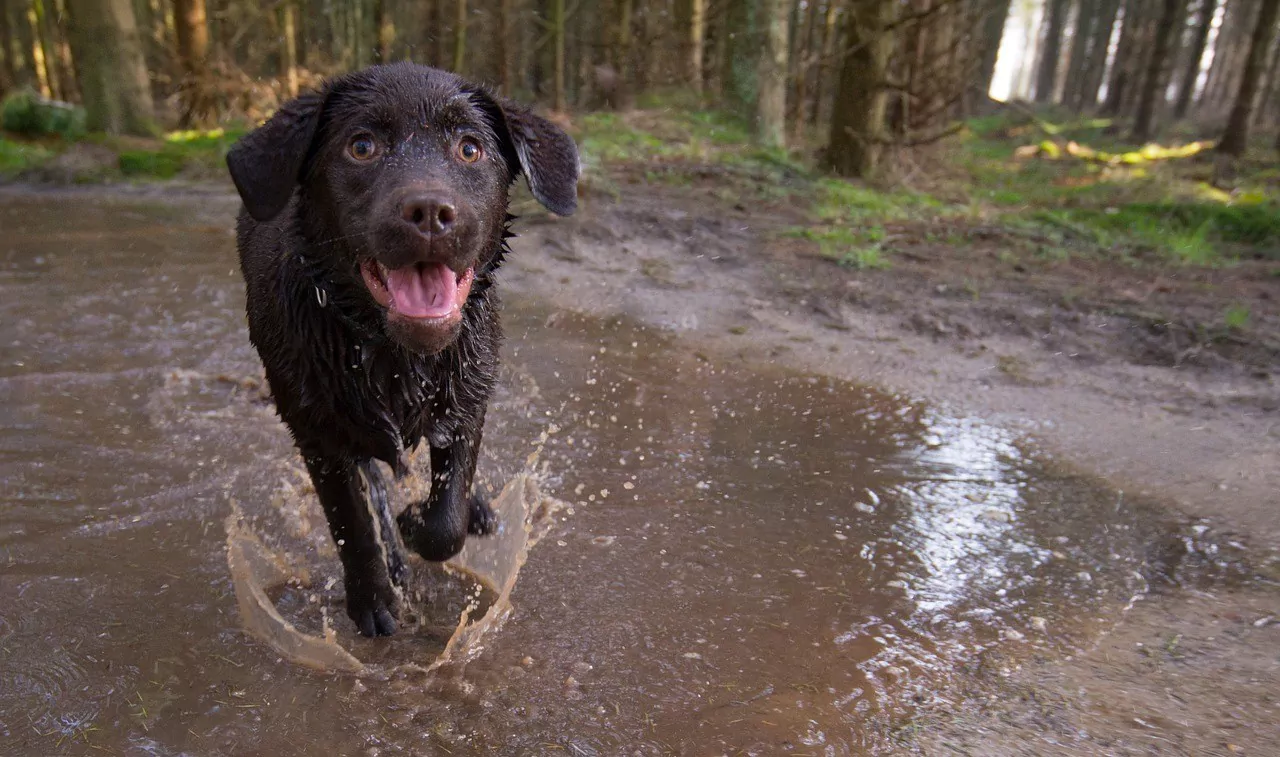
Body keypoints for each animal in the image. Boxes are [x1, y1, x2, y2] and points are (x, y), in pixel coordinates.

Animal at [226, 62, 581, 637]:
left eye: (469, 148)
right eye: (362, 146)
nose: (431, 211)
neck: (393, 356)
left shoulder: (467, 402)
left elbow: (446, 519)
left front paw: (420, 520)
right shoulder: (317, 433)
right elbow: (353, 524)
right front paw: (373, 599)